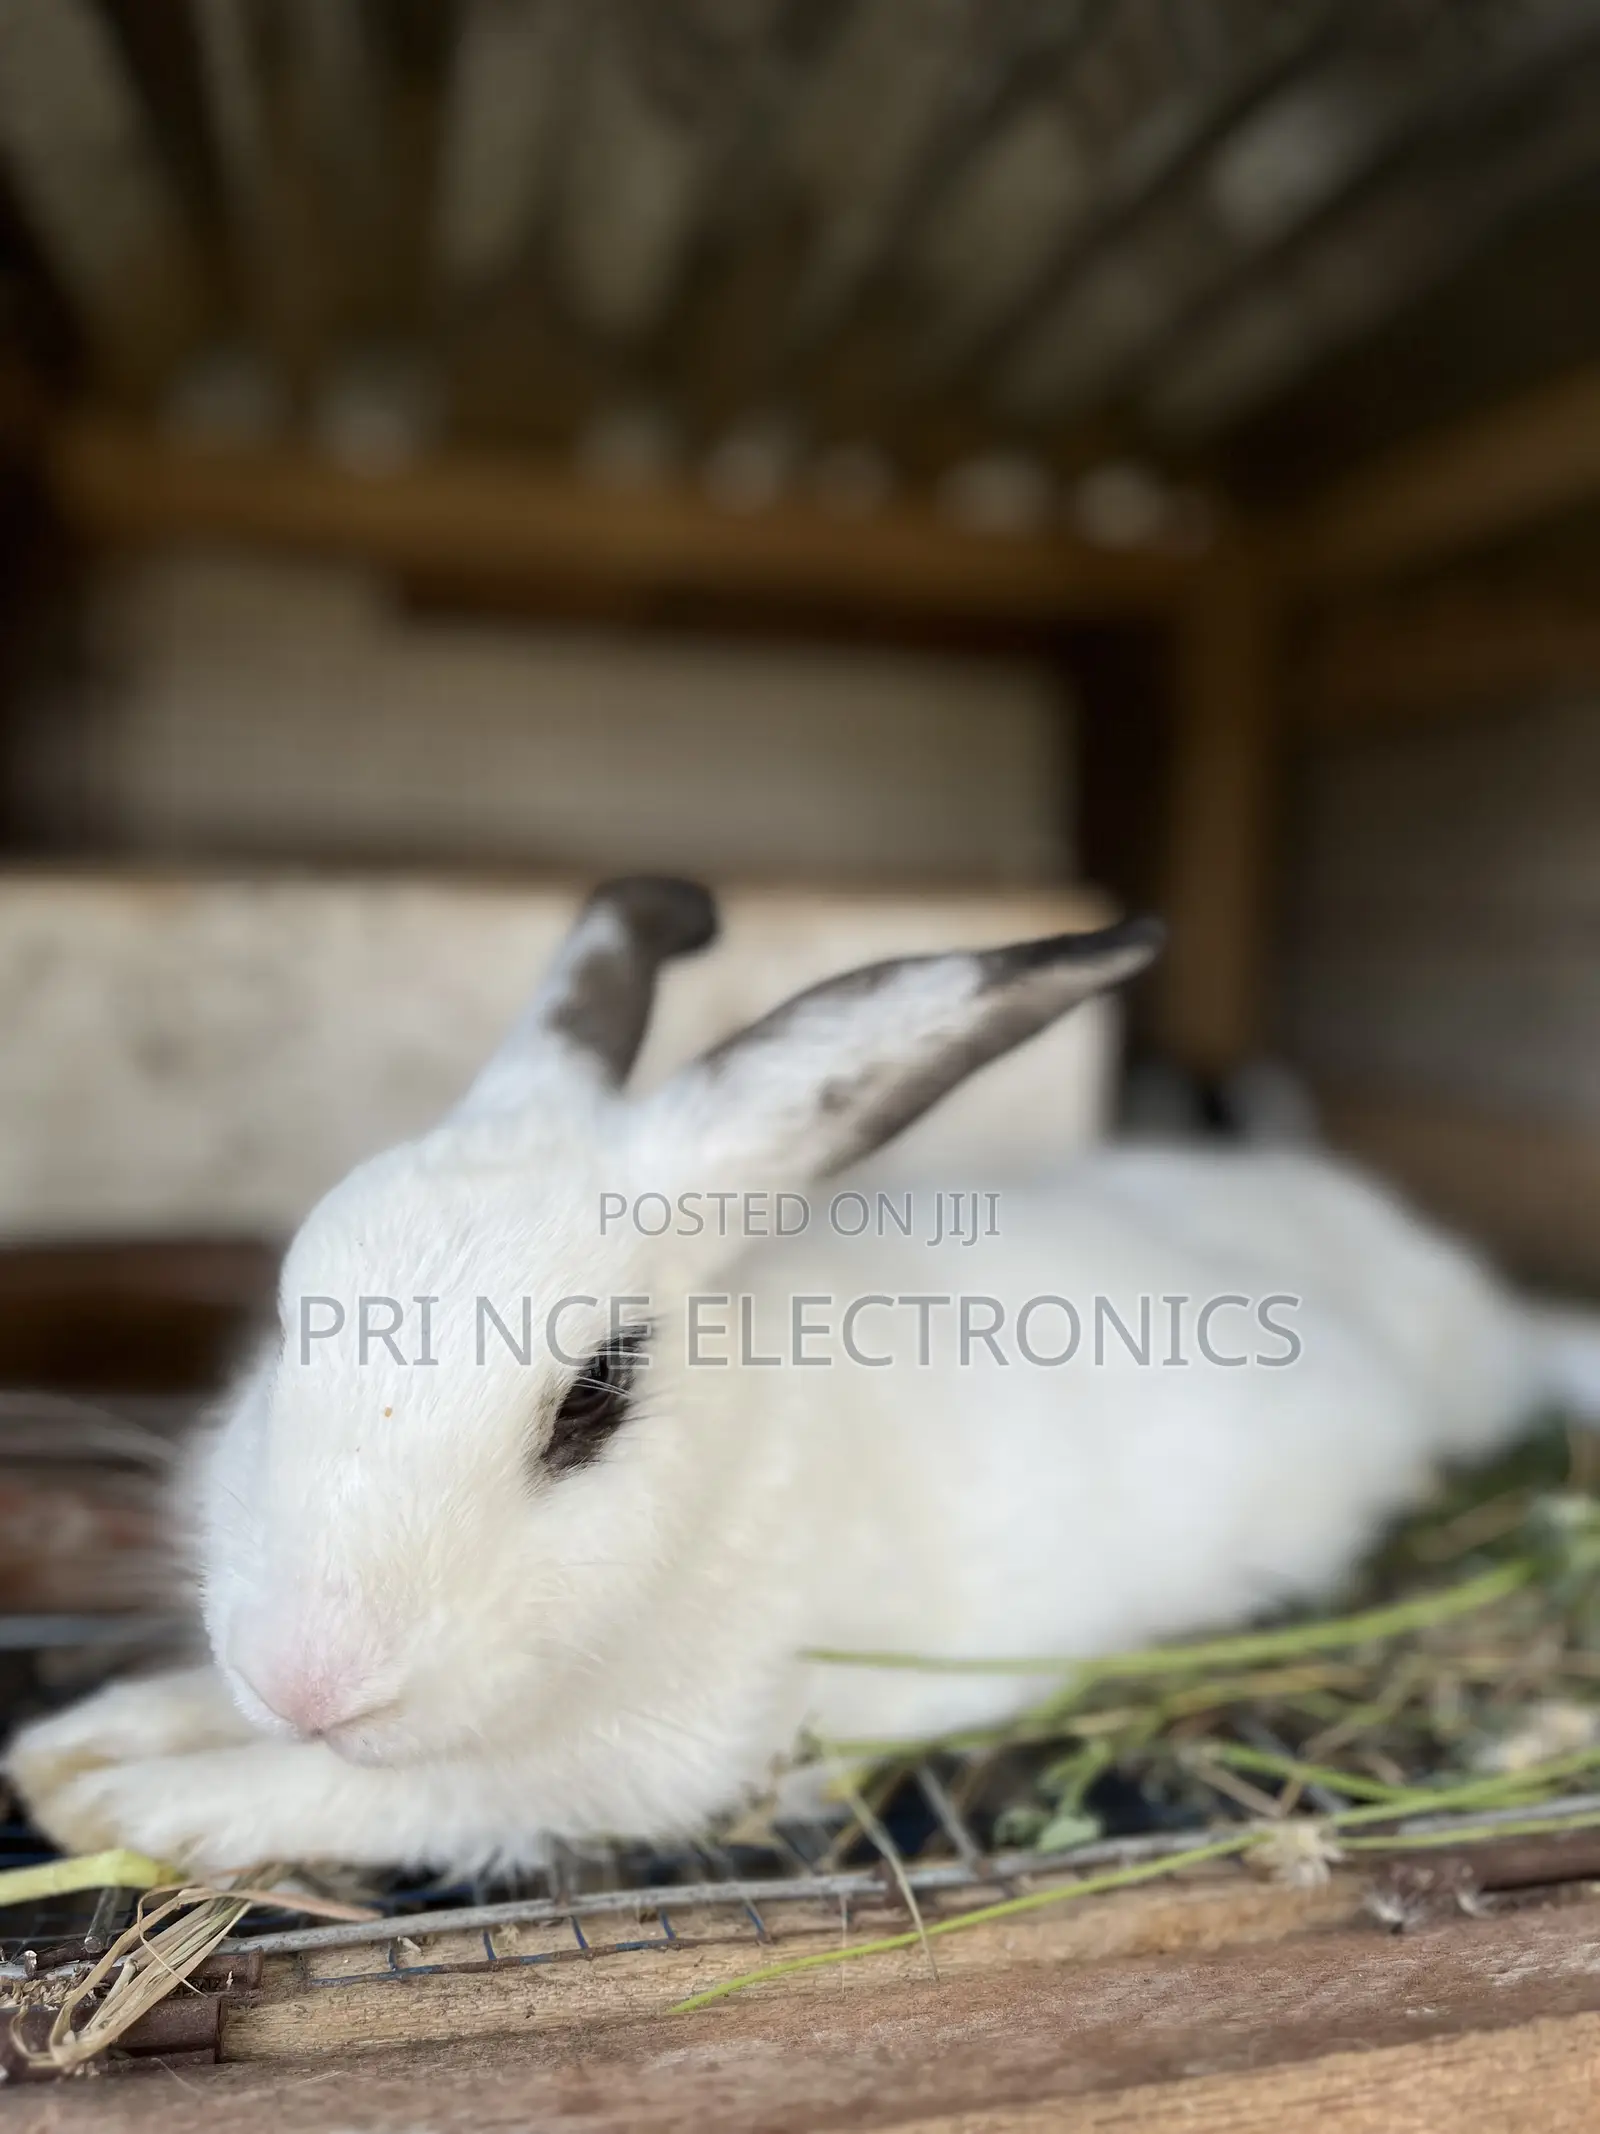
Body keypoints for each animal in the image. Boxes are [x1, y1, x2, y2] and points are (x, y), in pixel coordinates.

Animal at [10, 877, 1599, 1875]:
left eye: (593, 1400)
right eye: (290, 1324)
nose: (307, 1672)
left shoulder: (643, 1762)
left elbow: (383, 1792)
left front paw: (138, 1794)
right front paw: (74, 1748)